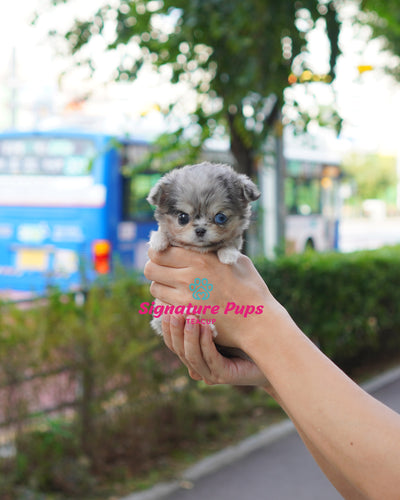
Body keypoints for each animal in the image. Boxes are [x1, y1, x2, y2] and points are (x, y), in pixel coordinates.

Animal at [147, 162, 260, 354]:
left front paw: (228, 254)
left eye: (220, 217)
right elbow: (161, 231)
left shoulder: (235, 240)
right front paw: (158, 241)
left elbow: (231, 243)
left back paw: (209, 329)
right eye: (182, 217)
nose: (200, 230)